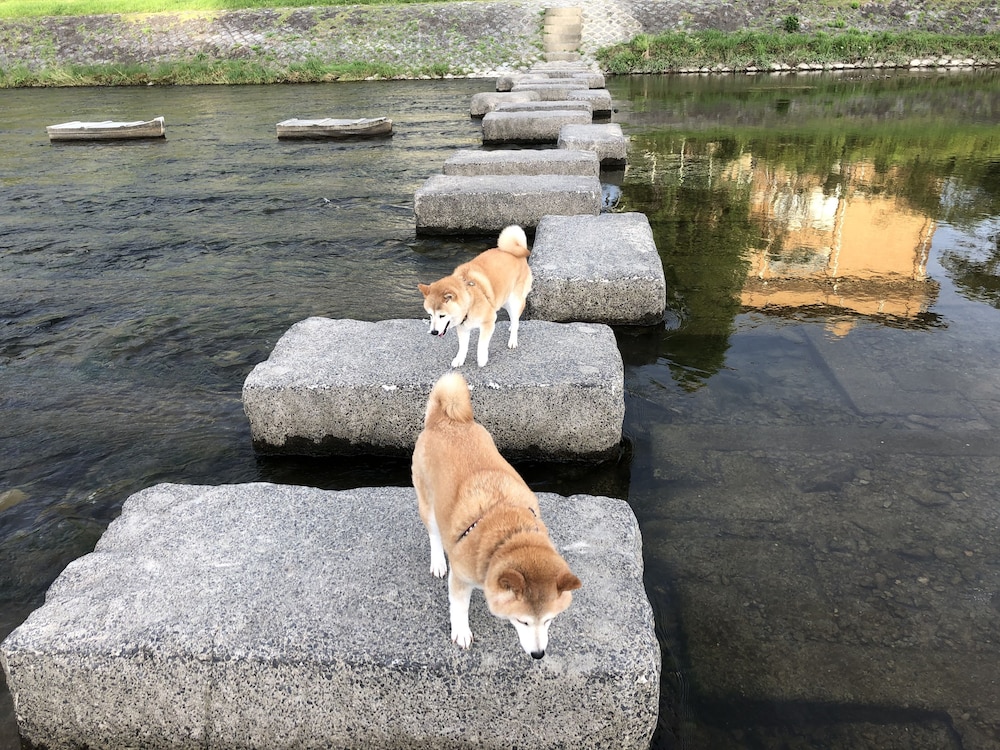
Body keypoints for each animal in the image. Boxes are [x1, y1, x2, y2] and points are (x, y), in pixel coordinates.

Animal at [412, 372, 581, 659]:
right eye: (523, 621)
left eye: (549, 619)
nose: (538, 654)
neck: (509, 531)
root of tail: (445, 420)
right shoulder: (461, 577)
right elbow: (459, 608)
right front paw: (461, 632)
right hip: (427, 502)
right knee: (434, 534)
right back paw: (438, 561)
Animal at [418, 225, 532, 368]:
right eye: (430, 315)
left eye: (442, 315)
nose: (433, 332)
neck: (470, 300)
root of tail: (517, 252)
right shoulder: (462, 327)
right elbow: (463, 346)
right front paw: (459, 359)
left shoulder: (489, 321)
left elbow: (481, 344)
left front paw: (482, 359)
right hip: (503, 299)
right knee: (514, 318)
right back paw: (512, 325)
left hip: (514, 300)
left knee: (516, 317)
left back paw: (513, 339)